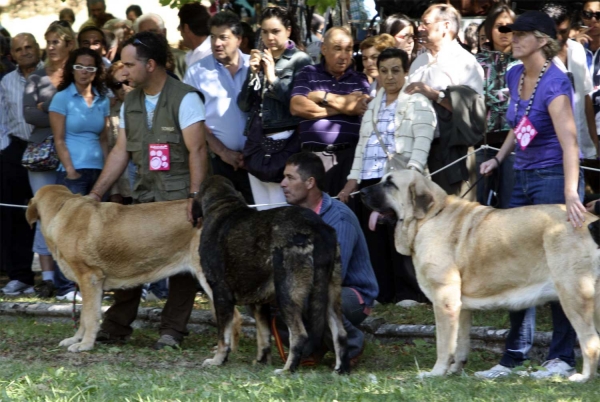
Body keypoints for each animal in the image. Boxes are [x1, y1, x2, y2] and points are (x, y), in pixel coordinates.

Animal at [25, 185, 241, 352]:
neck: (61, 208)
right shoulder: (92, 285)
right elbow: (85, 317)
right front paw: (77, 339)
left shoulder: (89, 279)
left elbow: (89, 316)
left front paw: (84, 345)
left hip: (209, 278)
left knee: (235, 317)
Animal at [192, 176, 352, 374]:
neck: (224, 204)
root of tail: (316, 227)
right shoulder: (260, 303)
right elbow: (264, 334)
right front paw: (262, 361)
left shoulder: (221, 293)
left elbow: (223, 336)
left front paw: (218, 360)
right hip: (329, 294)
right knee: (341, 333)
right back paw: (340, 370)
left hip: (287, 295)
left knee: (300, 335)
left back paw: (287, 370)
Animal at [360, 170, 600, 384]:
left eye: (390, 183)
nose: (361, 192)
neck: (430, 217)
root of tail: (591, 221)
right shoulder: (460, 307)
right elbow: (460, 343)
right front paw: (455, 370)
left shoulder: (444, 302)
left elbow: (444, 344)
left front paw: (436, 373)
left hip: (574, 295)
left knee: (590, 341)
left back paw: (583, 377)